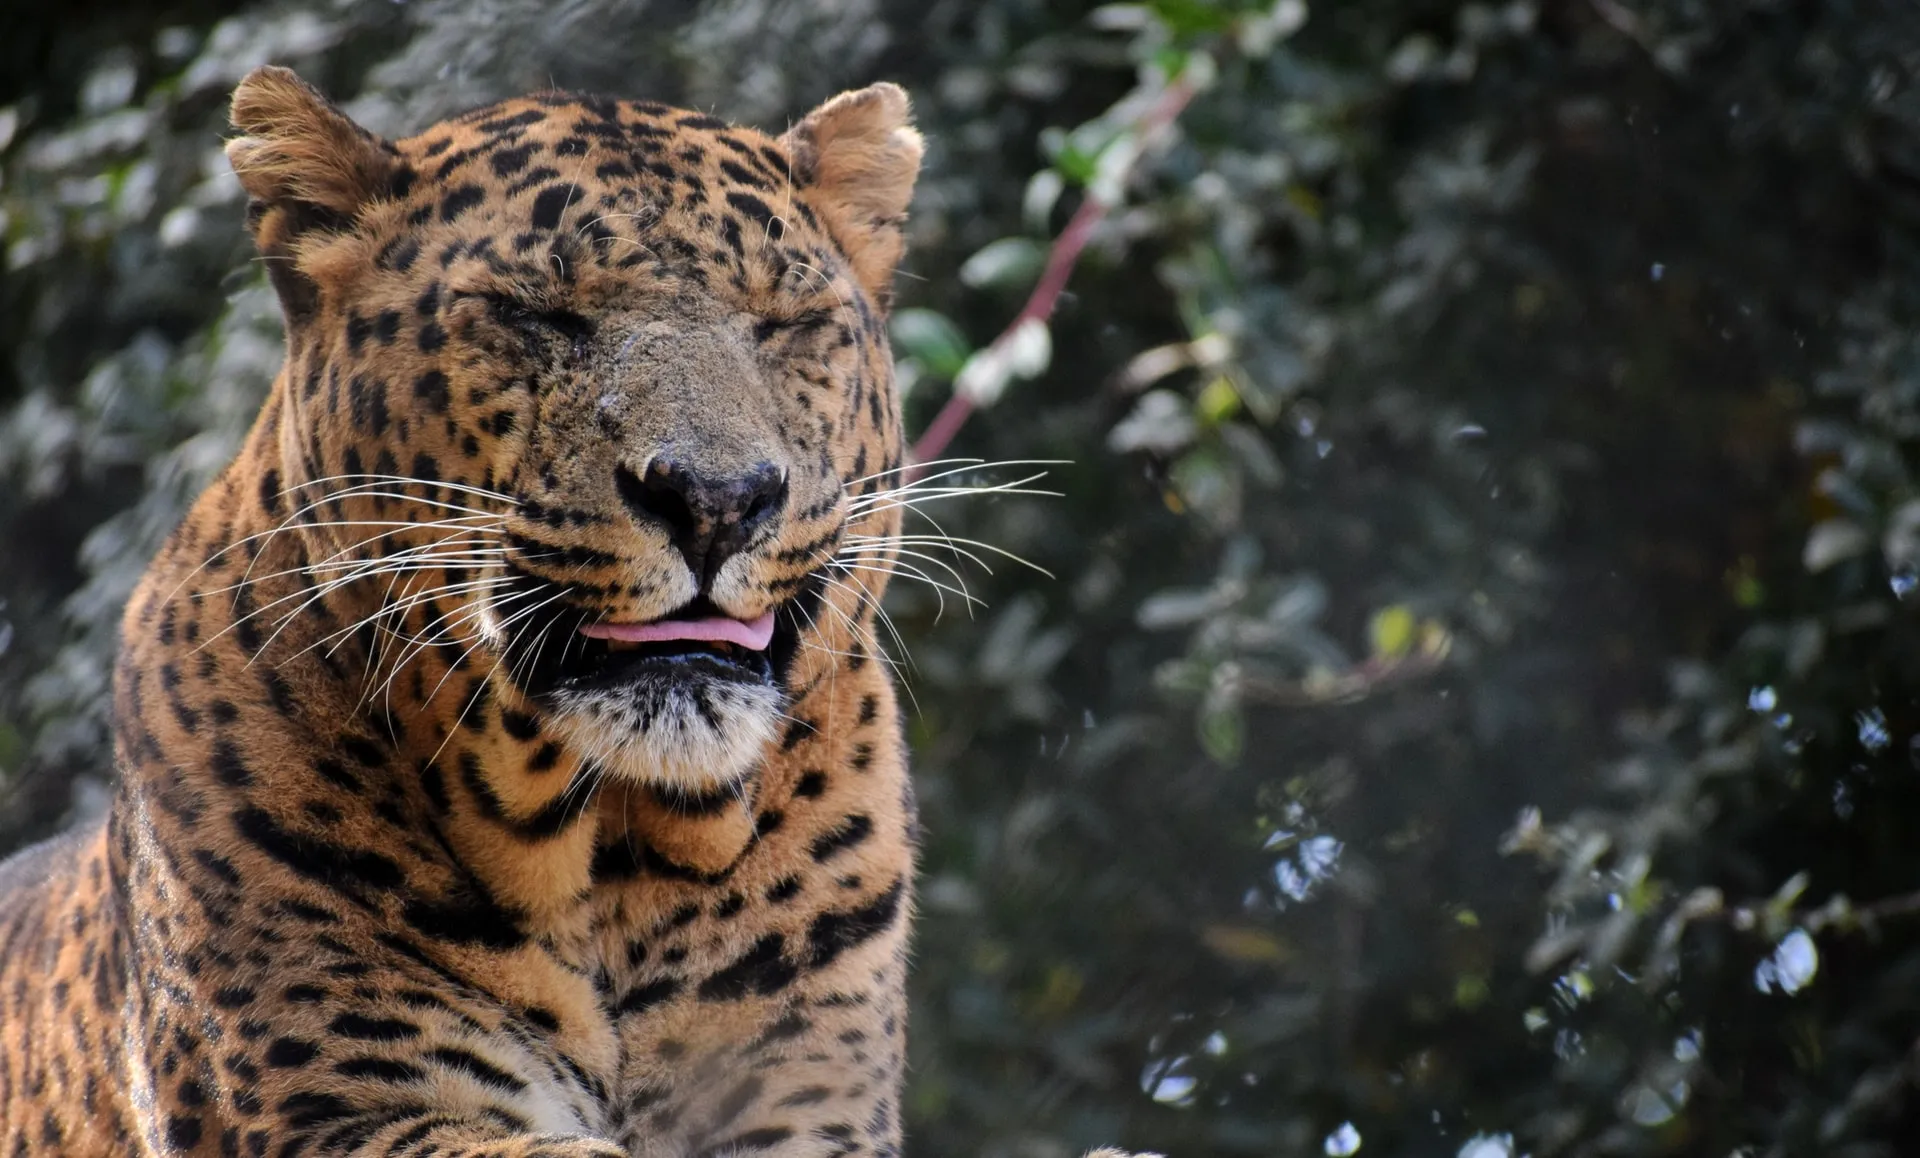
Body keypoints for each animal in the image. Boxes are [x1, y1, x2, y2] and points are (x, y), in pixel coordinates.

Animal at [0, 70, 1144, 1158]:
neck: (615, 863)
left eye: (787, 327)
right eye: (534, 314)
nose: (718, 498)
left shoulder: (806, 1108)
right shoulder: (342, 1114)